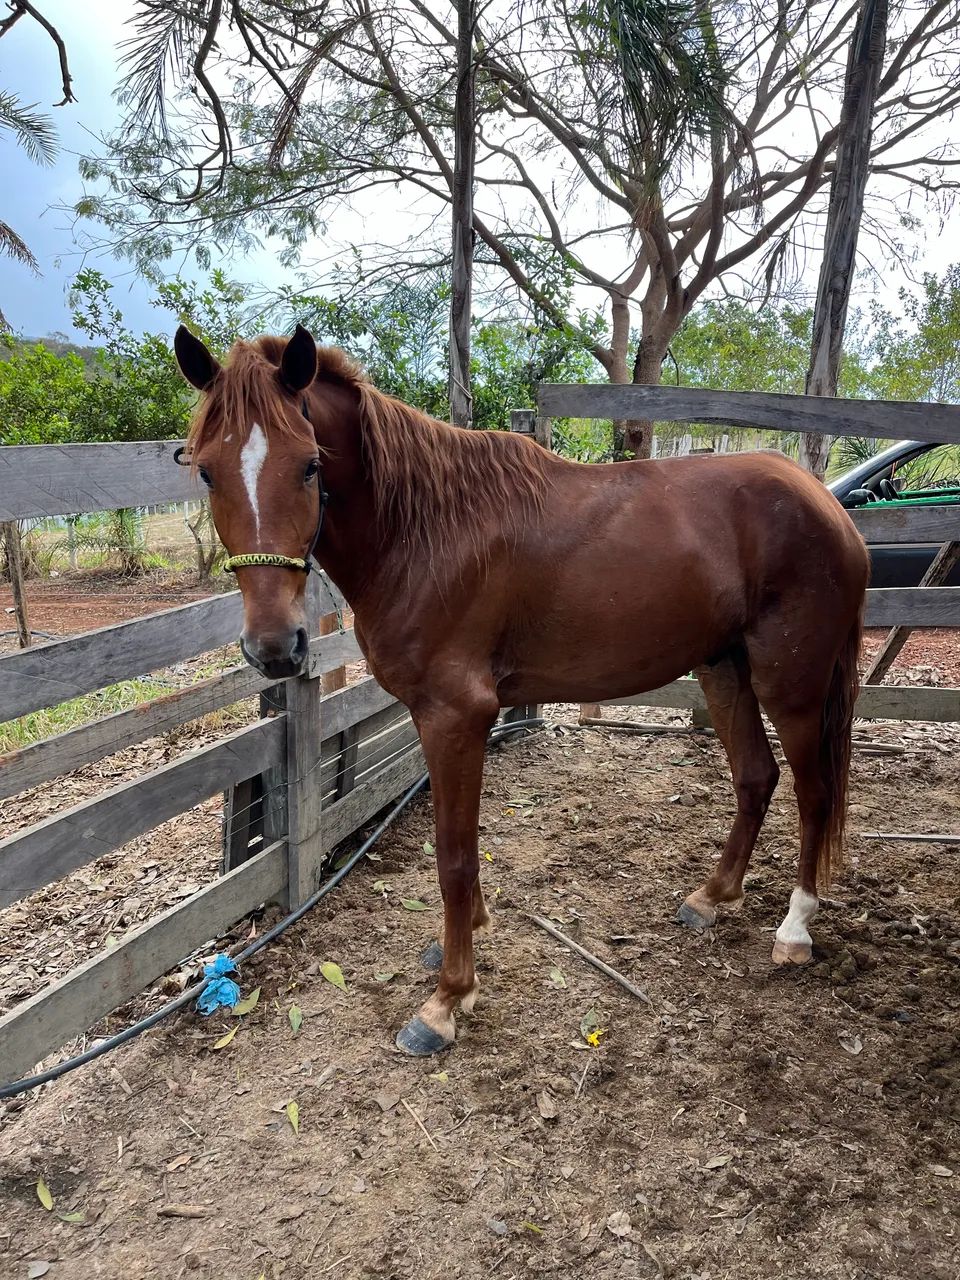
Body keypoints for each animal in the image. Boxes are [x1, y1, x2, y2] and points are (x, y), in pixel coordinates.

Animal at [173, 323, 870, 1056]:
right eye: (207, 470)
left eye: (310, 464)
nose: (275, 647)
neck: (427, 530)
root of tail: (827, 504)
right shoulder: (442, 720)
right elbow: (463, 845)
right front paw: (466, 938)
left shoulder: (455, 716)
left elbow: (452, 855)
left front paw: (447, 998)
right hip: (723, 668)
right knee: (756, 777)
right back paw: (712, 897)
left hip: (791, 685)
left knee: (815, 793)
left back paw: (794, 929)